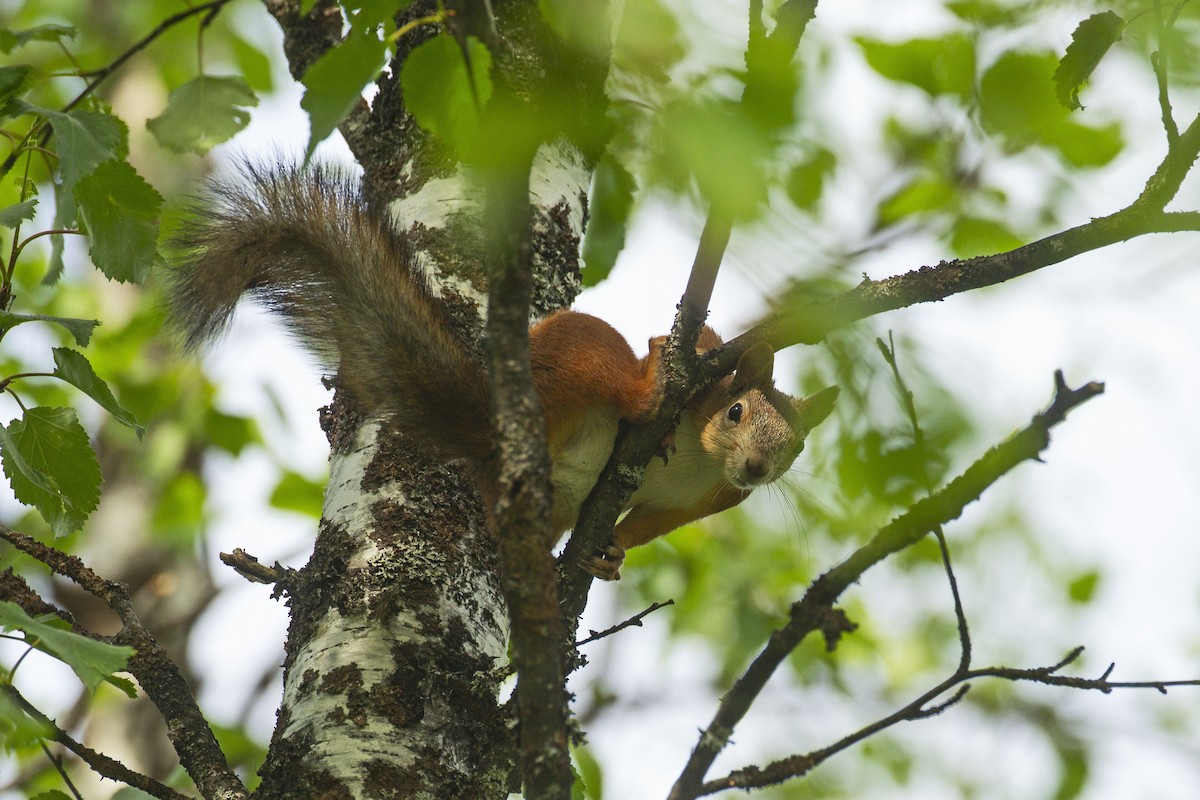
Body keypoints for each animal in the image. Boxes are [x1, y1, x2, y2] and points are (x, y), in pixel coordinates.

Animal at [165, 162, 838, 580]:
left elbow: (649, 525)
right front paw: (665, 387)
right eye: (735, 410)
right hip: (578, 358)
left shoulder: (706, 502)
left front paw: (613, 553)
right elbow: (677, 342)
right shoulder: (695, 366)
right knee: (612, 376)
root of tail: (494, 427)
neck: (707, 459)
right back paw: (644, 400)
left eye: (795, 448)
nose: (756, 468)